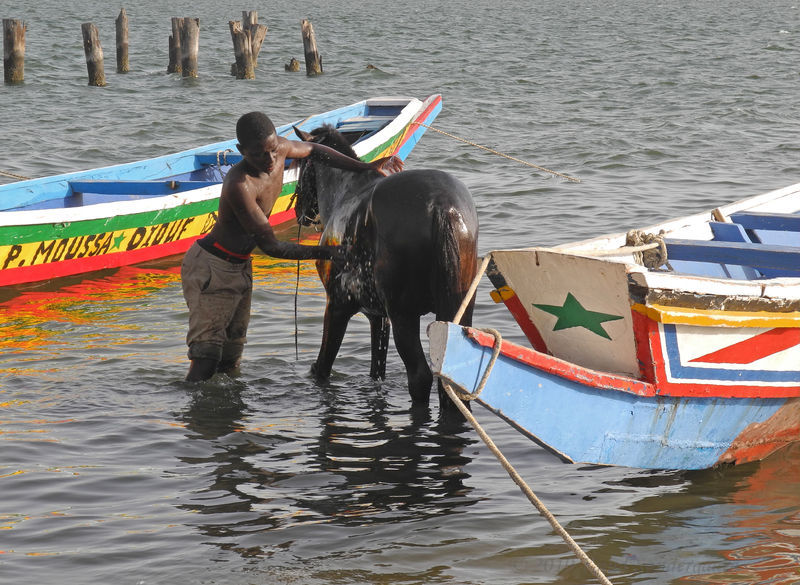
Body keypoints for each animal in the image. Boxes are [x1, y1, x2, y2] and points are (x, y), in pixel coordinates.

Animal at [294, 123, 482, 406]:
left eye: (300, 167)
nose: (299, 212)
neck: (344, 193)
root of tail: (442, 206)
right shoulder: (379, 317)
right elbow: (376, 370)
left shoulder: (337, 307)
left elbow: (323, 367)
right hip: (457, 313)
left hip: (404, 315)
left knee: (420, 376)